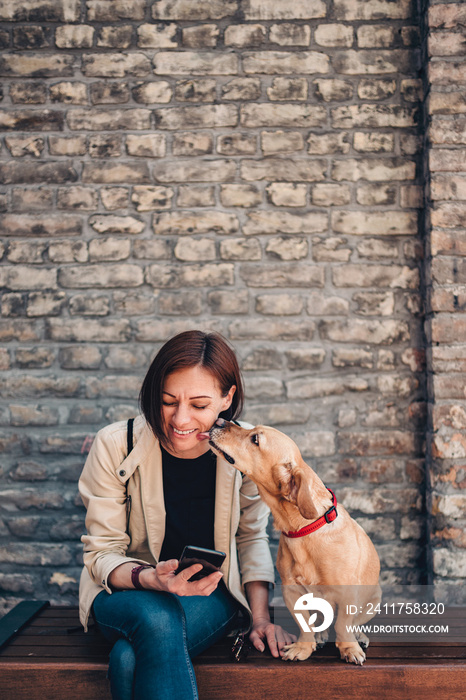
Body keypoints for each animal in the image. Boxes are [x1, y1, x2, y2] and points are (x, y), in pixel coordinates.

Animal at [209, 418, 380, 664]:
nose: (219, 420)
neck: (303, 530)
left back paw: (358, 636)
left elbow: (343, 624)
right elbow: (304, 623)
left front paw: (349, 647)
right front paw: (304, 646)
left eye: (255, 439)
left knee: (354, 622)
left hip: (373, 600)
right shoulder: (291, 591)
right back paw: (320, 635)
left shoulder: (348, 593)